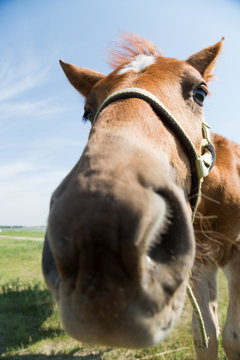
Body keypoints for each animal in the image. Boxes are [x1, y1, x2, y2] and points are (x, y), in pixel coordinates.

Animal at [41, 33, 240, 358]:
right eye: (87, 111)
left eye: (200, 93)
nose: (97, 235)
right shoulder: (198, 263)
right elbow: (206, 336)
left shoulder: (237, 254)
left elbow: (232, 337)